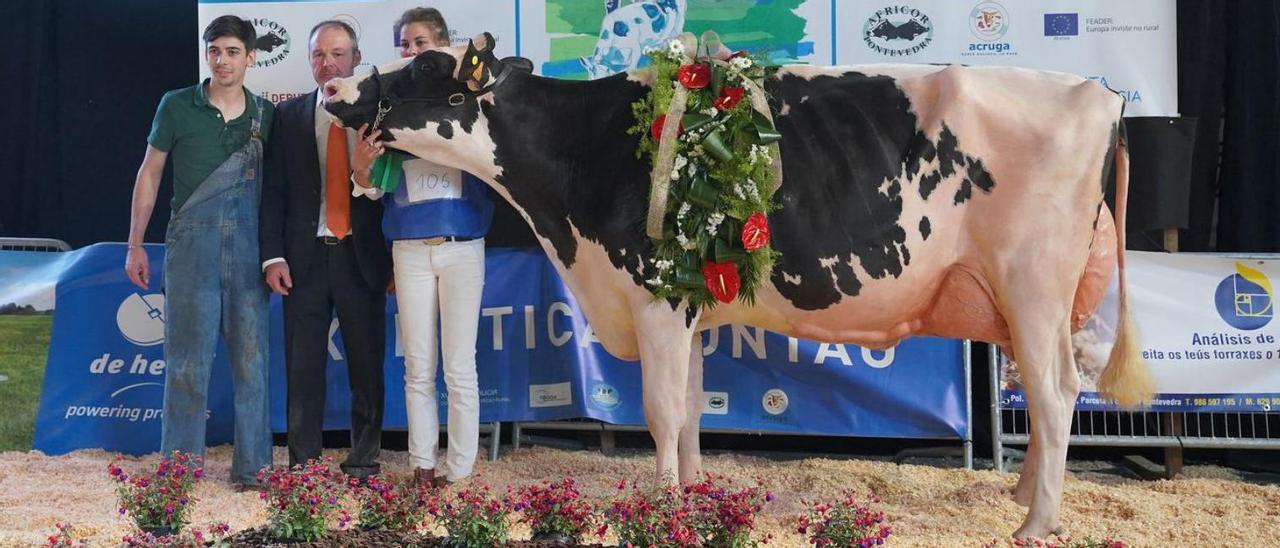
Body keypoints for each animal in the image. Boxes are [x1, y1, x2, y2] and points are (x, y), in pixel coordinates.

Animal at [325, 32, 1157, 537]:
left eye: (422, 69)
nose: (334, 86)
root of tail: (1100, 95)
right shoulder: (689, 304)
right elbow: (694, 407)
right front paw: (694, 495)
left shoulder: (656, 295)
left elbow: (661, 411)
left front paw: (660, 506)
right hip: (1032, 299)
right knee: (1051, 392)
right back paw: (1022, 497)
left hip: (1033, 282)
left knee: (1053, 391)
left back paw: (1036, 523)